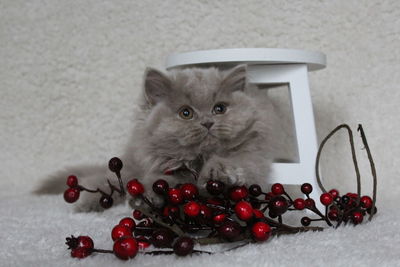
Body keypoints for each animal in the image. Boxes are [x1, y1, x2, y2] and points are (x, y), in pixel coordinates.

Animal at [36, 65, 280, 211]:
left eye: (219, 109)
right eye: (185, 113)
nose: (208, 122)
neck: (199, 159)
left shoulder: (255, 156)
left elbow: (239, 162)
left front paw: (220, 172)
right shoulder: (164, 167)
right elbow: (160, 180)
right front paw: (147, 197)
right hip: (130, 163)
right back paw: (89, 202)